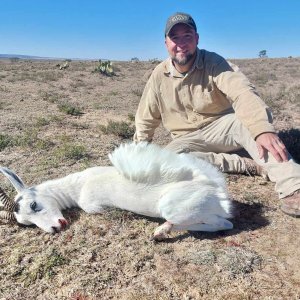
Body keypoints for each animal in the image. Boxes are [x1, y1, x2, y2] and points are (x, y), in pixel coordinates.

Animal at [0, 142, 232, 241]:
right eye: (27, 224)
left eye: (33, 204)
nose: (54, 229)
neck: (80, 185)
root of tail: (218, 192)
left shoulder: (93, 206)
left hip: (170, 207)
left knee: (221, 224)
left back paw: (161, 231)